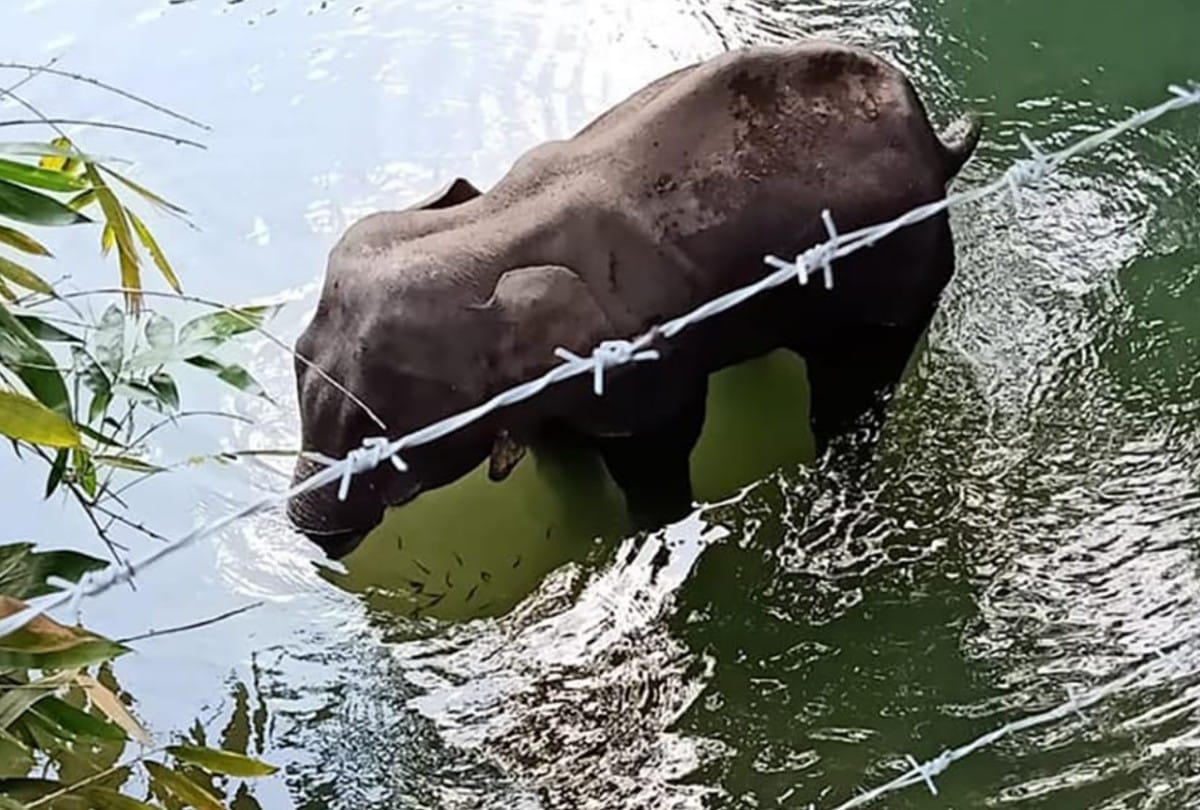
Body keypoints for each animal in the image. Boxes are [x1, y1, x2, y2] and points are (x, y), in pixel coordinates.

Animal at [286, 40, 982, 557]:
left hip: (898, 270)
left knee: (851, 394)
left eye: (384, 436)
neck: (493, 226)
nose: (312, 535)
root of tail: (937, 144)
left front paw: (646, 535)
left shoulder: (641, 363)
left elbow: (659, 451)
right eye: (296, 358)